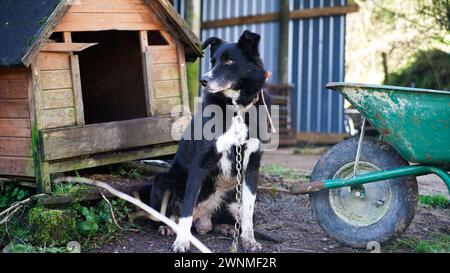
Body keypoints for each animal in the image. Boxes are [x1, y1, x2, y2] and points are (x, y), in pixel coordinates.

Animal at [149, 29, 272, 251]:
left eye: (229, 61)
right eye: (213, 61)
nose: (203, 81)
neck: (236, 109)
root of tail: (203, 218)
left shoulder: (252, 166)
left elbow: (248, 212)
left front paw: (249, 240)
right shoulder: (200, 164)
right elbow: (187, 209)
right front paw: (181, 241)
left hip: (232, 194)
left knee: (231, 216)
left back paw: (227, 228)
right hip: (163, 181)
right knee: (168, 216)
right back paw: (168, 227)